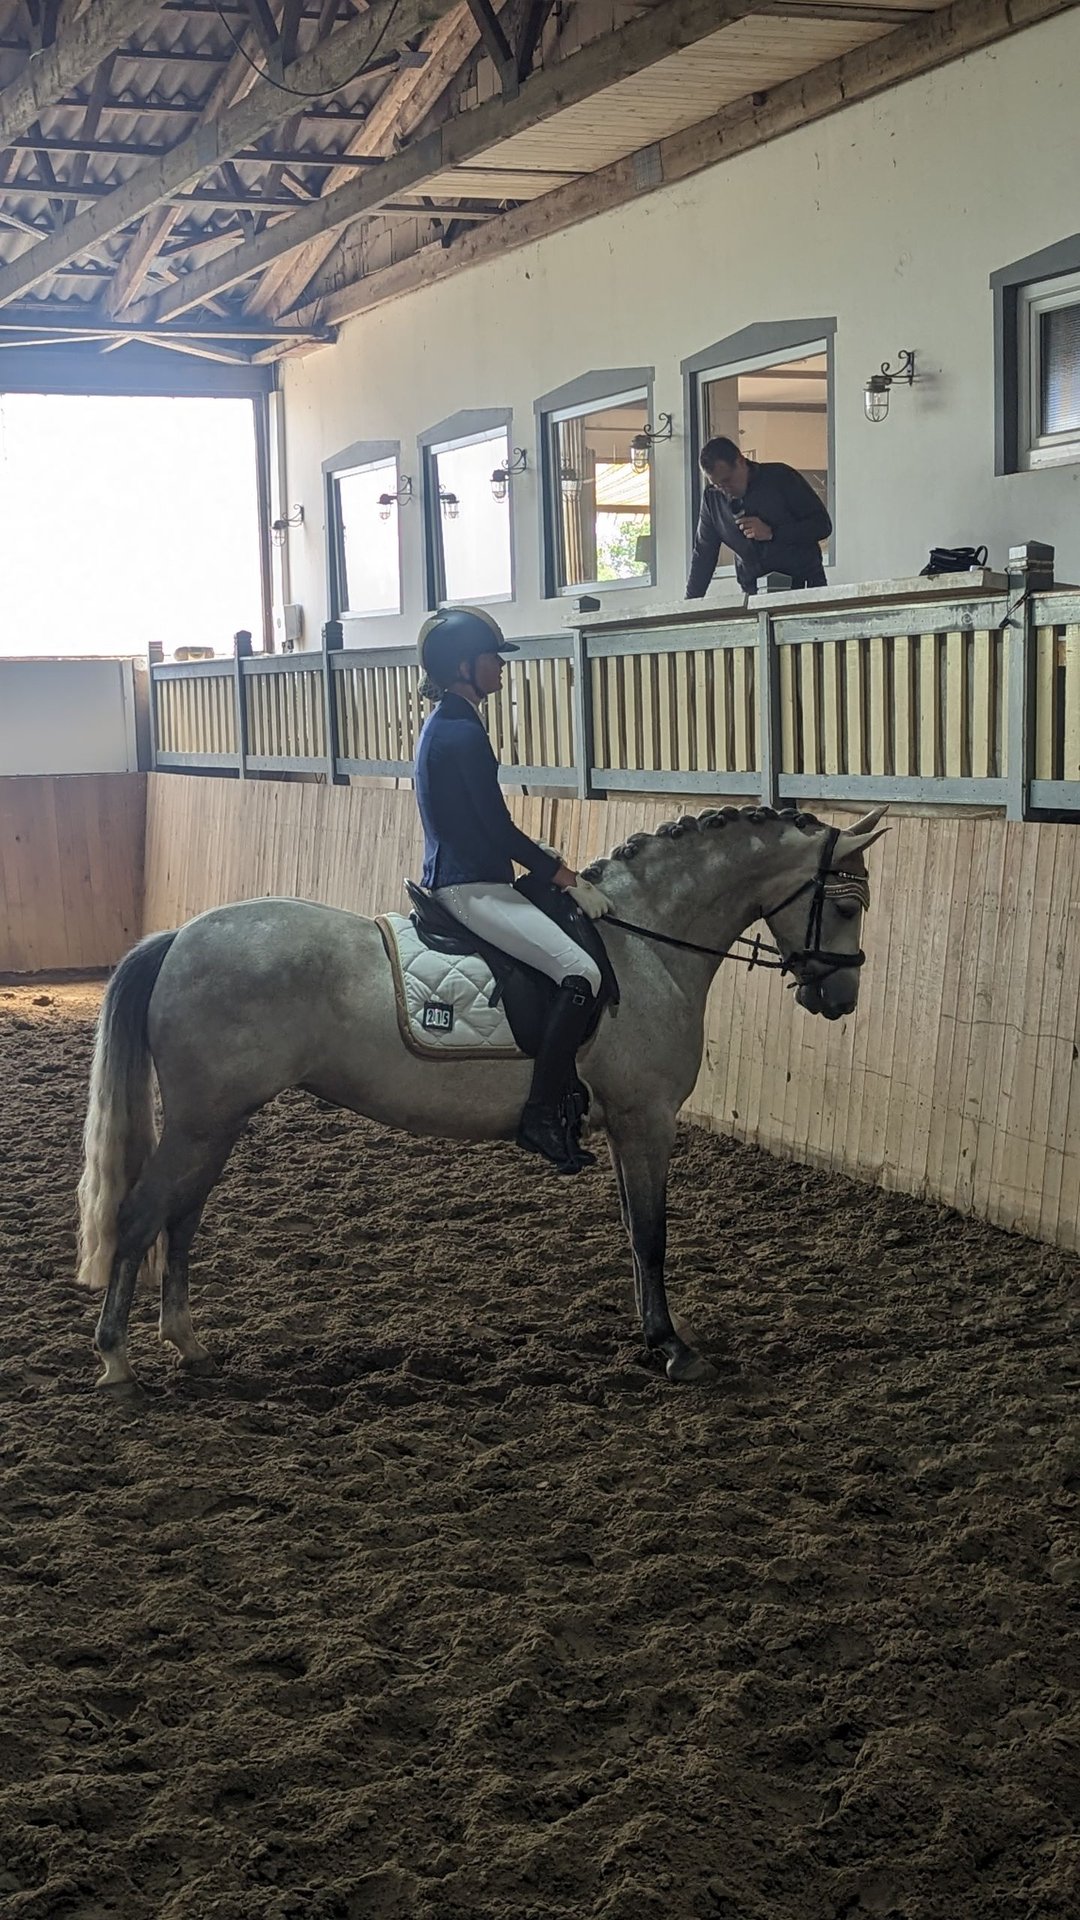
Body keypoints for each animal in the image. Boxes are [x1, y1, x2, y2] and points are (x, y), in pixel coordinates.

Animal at [77, 802, 883, 1390]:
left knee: (181, 1222)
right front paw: (674, 1348)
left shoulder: (628, 1125)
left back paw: (189, 1345)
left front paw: (652, 1338)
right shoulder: (647, 1119)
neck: (644, 945)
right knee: (142, 1216)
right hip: (201, 1122)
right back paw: (117, 1361)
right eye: (847, 907)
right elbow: (651, 1235)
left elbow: (633, 1230)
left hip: (217, 1123)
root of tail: (180, 937)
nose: (840, 998)